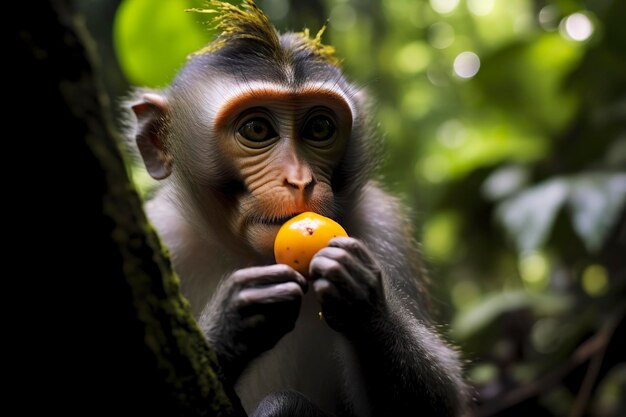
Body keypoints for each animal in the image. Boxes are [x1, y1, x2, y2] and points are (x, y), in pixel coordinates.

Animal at [127, 1, 466, 414]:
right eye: (256, 130)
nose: (301, 180)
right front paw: (235, 321)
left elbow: (444, 396)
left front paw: (364, 299)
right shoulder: (160, 235)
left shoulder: (382, 225)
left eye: (319, 128)